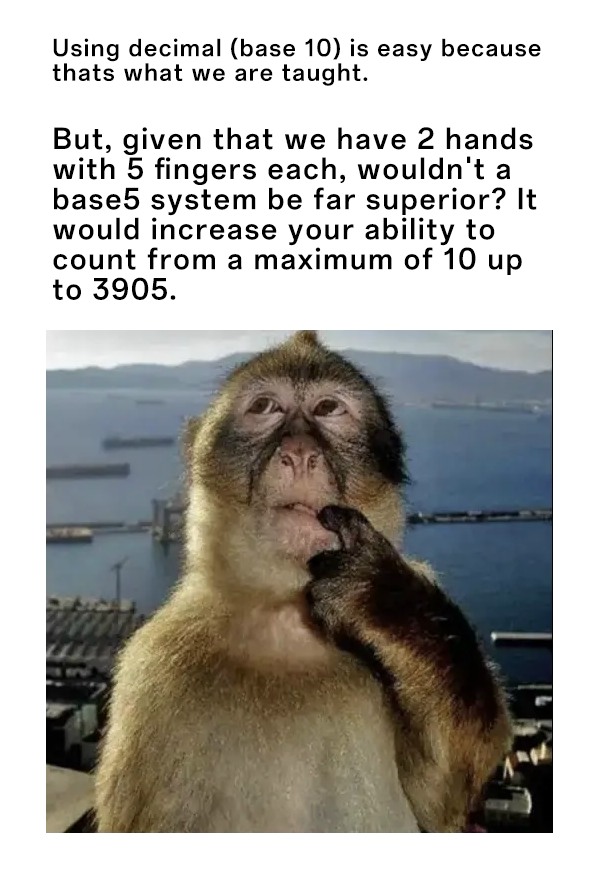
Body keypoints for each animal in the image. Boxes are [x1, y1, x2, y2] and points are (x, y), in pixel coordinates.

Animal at [95, 330, 511, 833]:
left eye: (329, 408)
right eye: (265, 407)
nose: (299, 453)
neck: (285, 619)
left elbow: (442, 801)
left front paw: (383, 598)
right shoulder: (152, 675)